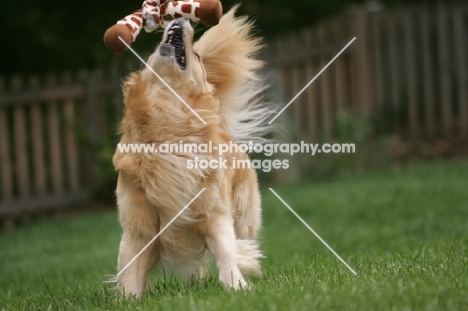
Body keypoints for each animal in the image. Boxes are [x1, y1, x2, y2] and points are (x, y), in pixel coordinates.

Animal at [110, 8, 270, 298]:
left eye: (195, 55)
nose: (180, 18)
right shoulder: (138, 229)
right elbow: (130, 272)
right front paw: (128, 299)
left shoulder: (214, 213)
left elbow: (227, 251)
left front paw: (236, 286)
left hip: (244, 216)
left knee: (243, 242)